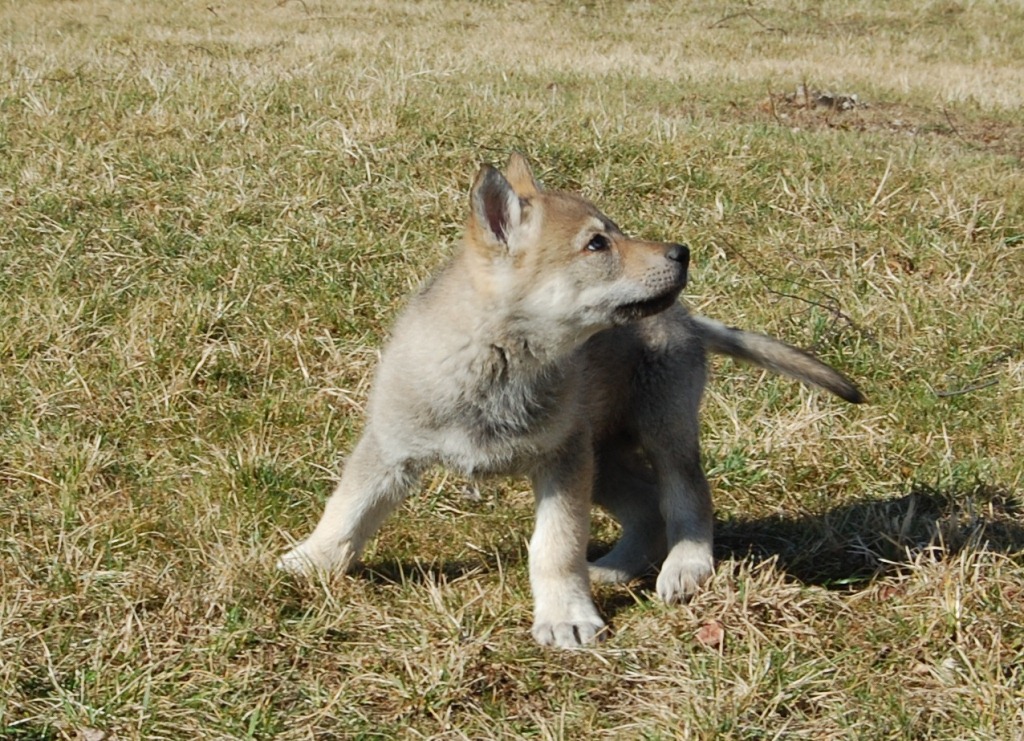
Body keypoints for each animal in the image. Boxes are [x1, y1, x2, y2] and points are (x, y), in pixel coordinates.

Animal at [276, 153, 860, 646]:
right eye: (597, 244)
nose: (682, 252)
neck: (497, 360)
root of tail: (687, 318)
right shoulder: (389, 450)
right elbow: (346, 514)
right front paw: (308, 563)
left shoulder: (561, 463)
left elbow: (556, 547)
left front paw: (566, 616)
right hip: (603, 458)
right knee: (647, 509)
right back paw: (615, 569)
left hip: (660, 433)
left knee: (688, 497)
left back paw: (685, 567)